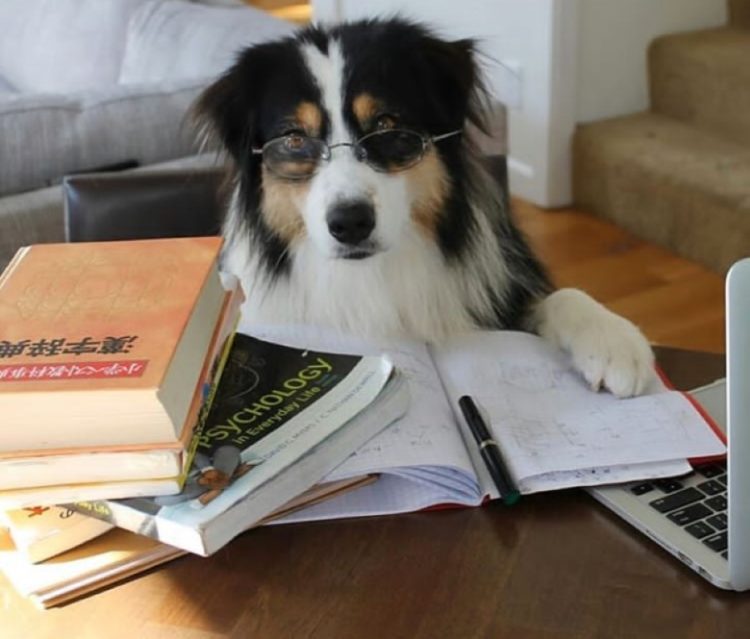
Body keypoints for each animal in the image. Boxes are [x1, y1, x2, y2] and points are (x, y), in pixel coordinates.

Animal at [195, 17, 656, 398]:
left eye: (387, 126)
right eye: (294, 140)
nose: (350, 223)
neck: (370, 276)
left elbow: (564, 294)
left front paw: (615, 342)